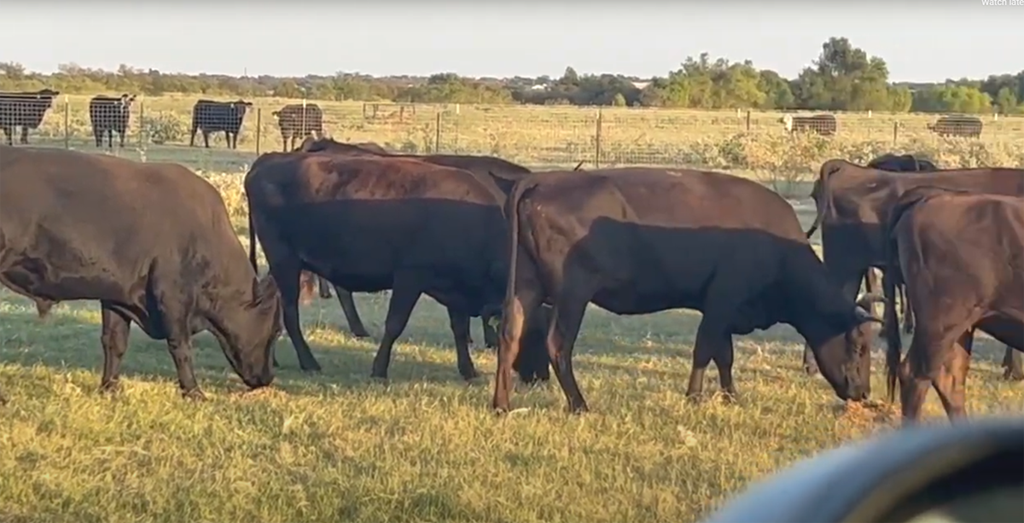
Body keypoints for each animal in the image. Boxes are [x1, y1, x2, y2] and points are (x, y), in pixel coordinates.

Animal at [0, 145, 284, 399]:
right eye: (277, 330)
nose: (268, 378)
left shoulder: (116, 297)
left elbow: (114, 342)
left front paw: (110, 388)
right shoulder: (172, 296)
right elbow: (180, 347)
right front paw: (194, 392)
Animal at [491, 166, 884, 413]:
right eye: (858, 346)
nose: (862, 391)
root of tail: (544, 181)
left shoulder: (721, 307)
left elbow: (724, 355)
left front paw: (731, 396)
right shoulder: (723, 300)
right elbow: (704, 349)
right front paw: (694, 396)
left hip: (525, 288)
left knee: (509, 335)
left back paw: (501, 405)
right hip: (573, 293)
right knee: (558, 343)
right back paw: (579, 405)